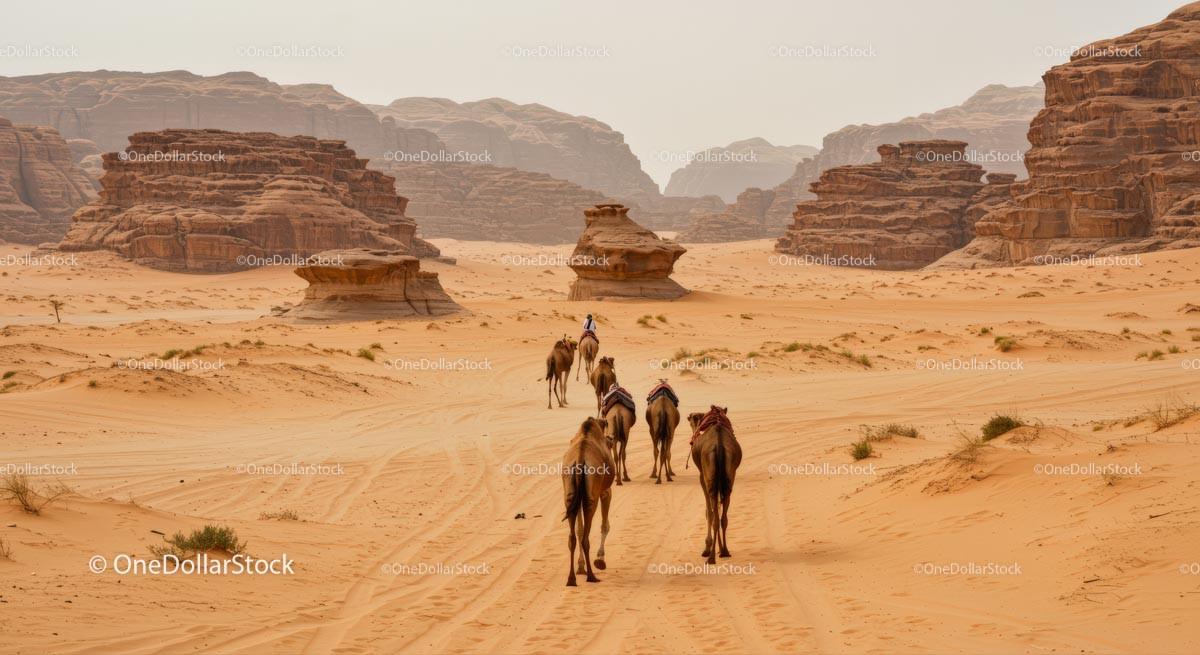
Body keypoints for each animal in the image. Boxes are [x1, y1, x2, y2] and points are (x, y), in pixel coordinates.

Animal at [562, 416, 616, 586]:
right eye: (610, 443)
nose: (611, 439)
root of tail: (580, 460)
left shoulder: (578, 498)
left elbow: (579, 531)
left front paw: (581, 567)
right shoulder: (605, 492)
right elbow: (605, 526)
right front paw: (600, 560)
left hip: (570, 494)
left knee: (572, 537)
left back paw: (571, 578)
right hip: (591, 498)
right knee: (586, 537)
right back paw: (591, 576)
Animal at [688, 407, 742, 564]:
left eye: (692, 419)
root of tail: (719, 446)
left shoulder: (702, 477)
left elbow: (709, 512)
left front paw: (707, 547)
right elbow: (717, 511)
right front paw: (719, 548)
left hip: (710, 480)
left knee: (714, 515)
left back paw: (711, 556)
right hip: (729, 480)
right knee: (723, 517)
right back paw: (724, 551)